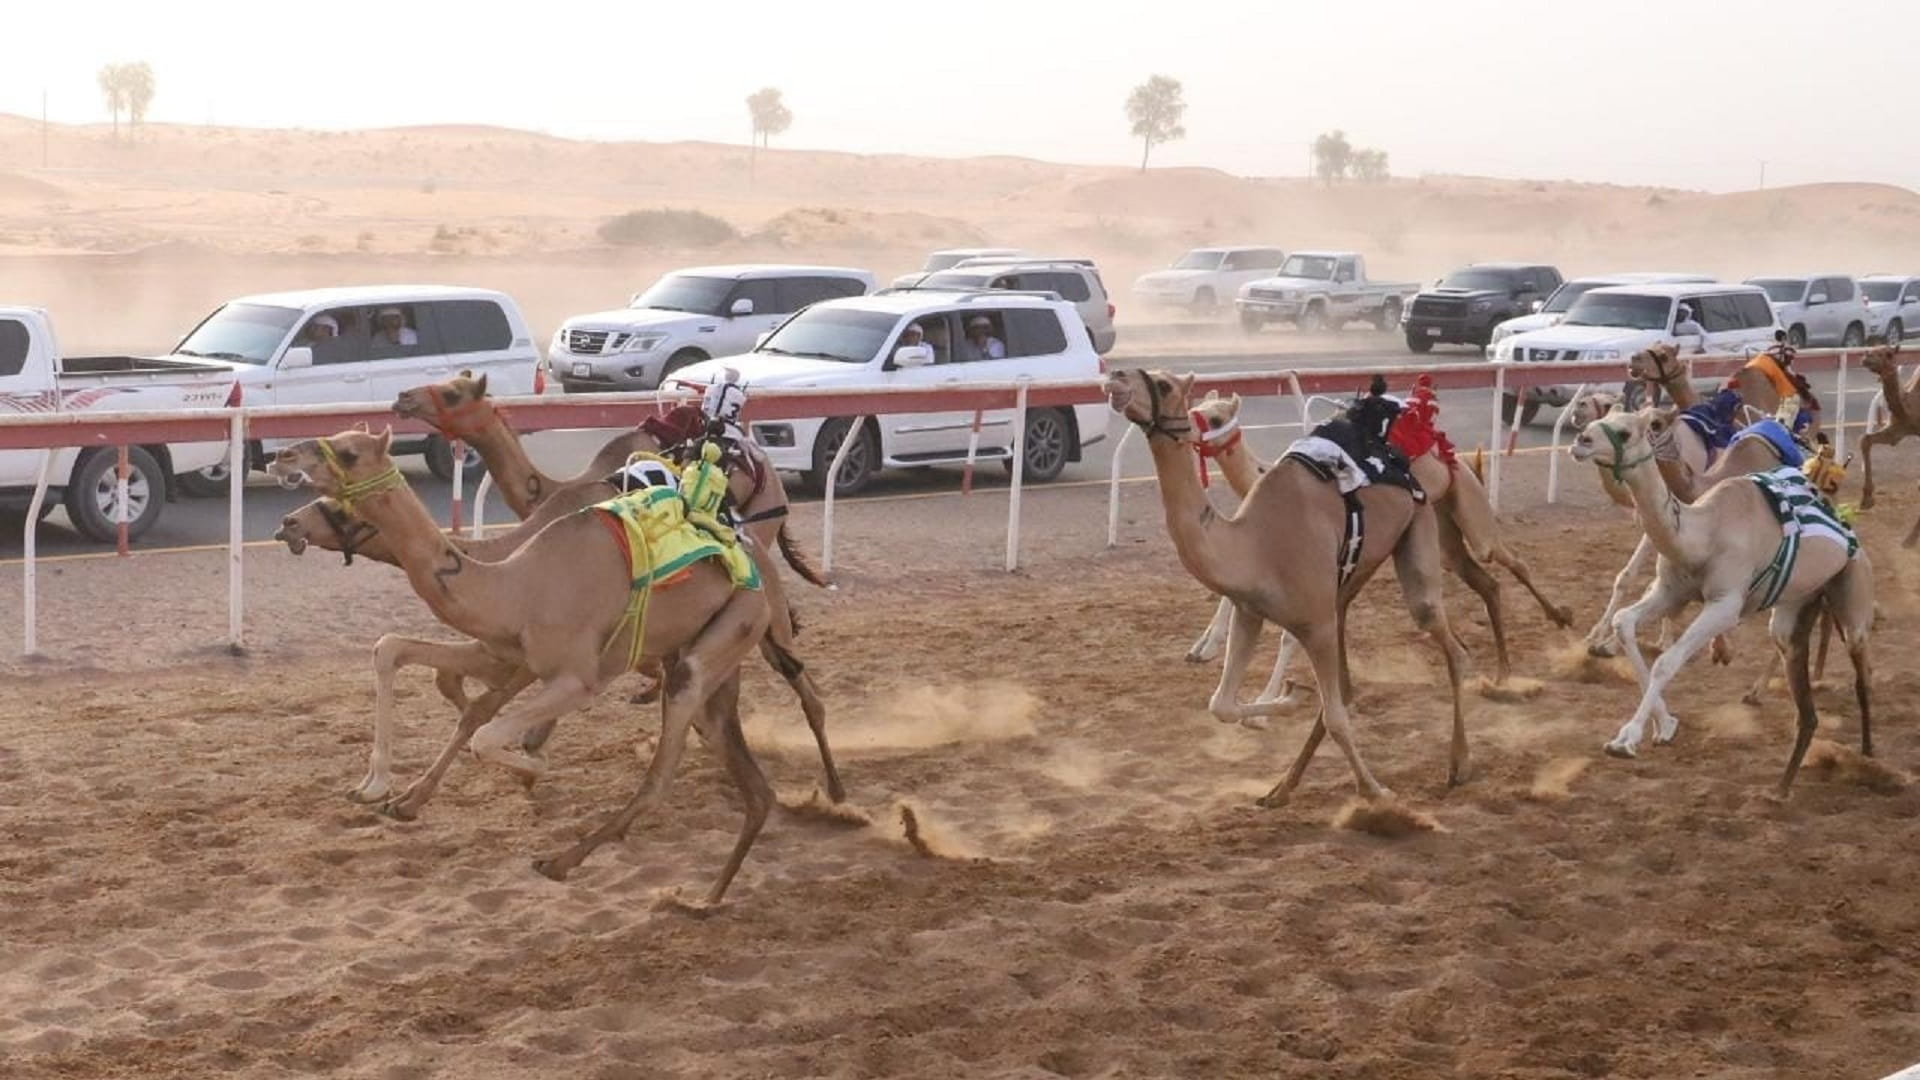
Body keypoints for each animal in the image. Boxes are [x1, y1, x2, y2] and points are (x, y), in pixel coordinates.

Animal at [1105, 368, 1459, 799]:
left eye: (1164, 384)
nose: (1116, 376)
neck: (1254, 543)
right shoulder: (1250, 612)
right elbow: (1221, 705)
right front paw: (1287, 700)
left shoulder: (1316, 622)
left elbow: (1334, 715)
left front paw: (1379, 793)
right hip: (1357, 572)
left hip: (1420, 521)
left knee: (1449, 642)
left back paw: (1459, 763)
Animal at [1182, 386, 1574, 699]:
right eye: (1195, 408)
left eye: (1214, 417)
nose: (1186, 429)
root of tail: (1459, 461)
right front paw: (1202, 649)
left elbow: (1290, 633)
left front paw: (1265, 701)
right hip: (1442, 529)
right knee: (1485, 582)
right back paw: (1502, 670)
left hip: (1469, 508)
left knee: (1505, 559)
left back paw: (1559, 620)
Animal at [1566, 403, 1866, 791]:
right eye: (1600, 418)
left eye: (1627, 431)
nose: (1581, 440)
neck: (1703, 533)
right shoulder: (1671, 592)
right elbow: (1625, 622)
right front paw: (1665, 725)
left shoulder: (1725, 603)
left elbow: (1667, 661)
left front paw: (1627, 739)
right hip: (1800, 594)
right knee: (1793, 636)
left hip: (1829, 580)